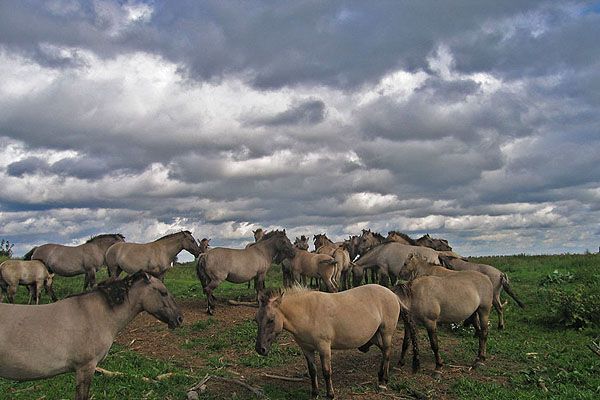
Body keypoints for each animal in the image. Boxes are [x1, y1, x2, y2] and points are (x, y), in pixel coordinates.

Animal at [255, 286, 420, 398]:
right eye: (256, 319)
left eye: (271, 320)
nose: (260, 349)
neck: (308, 313)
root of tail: (393, 295)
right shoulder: (307, 349)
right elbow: (312, 371)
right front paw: (314, 393)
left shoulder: (324, 348)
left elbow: (326, 372)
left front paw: (330, 395)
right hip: (376, 335)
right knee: (385, 351)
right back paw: (383, 378)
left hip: (386, 333)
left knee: (386, 352)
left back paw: (383, 383)